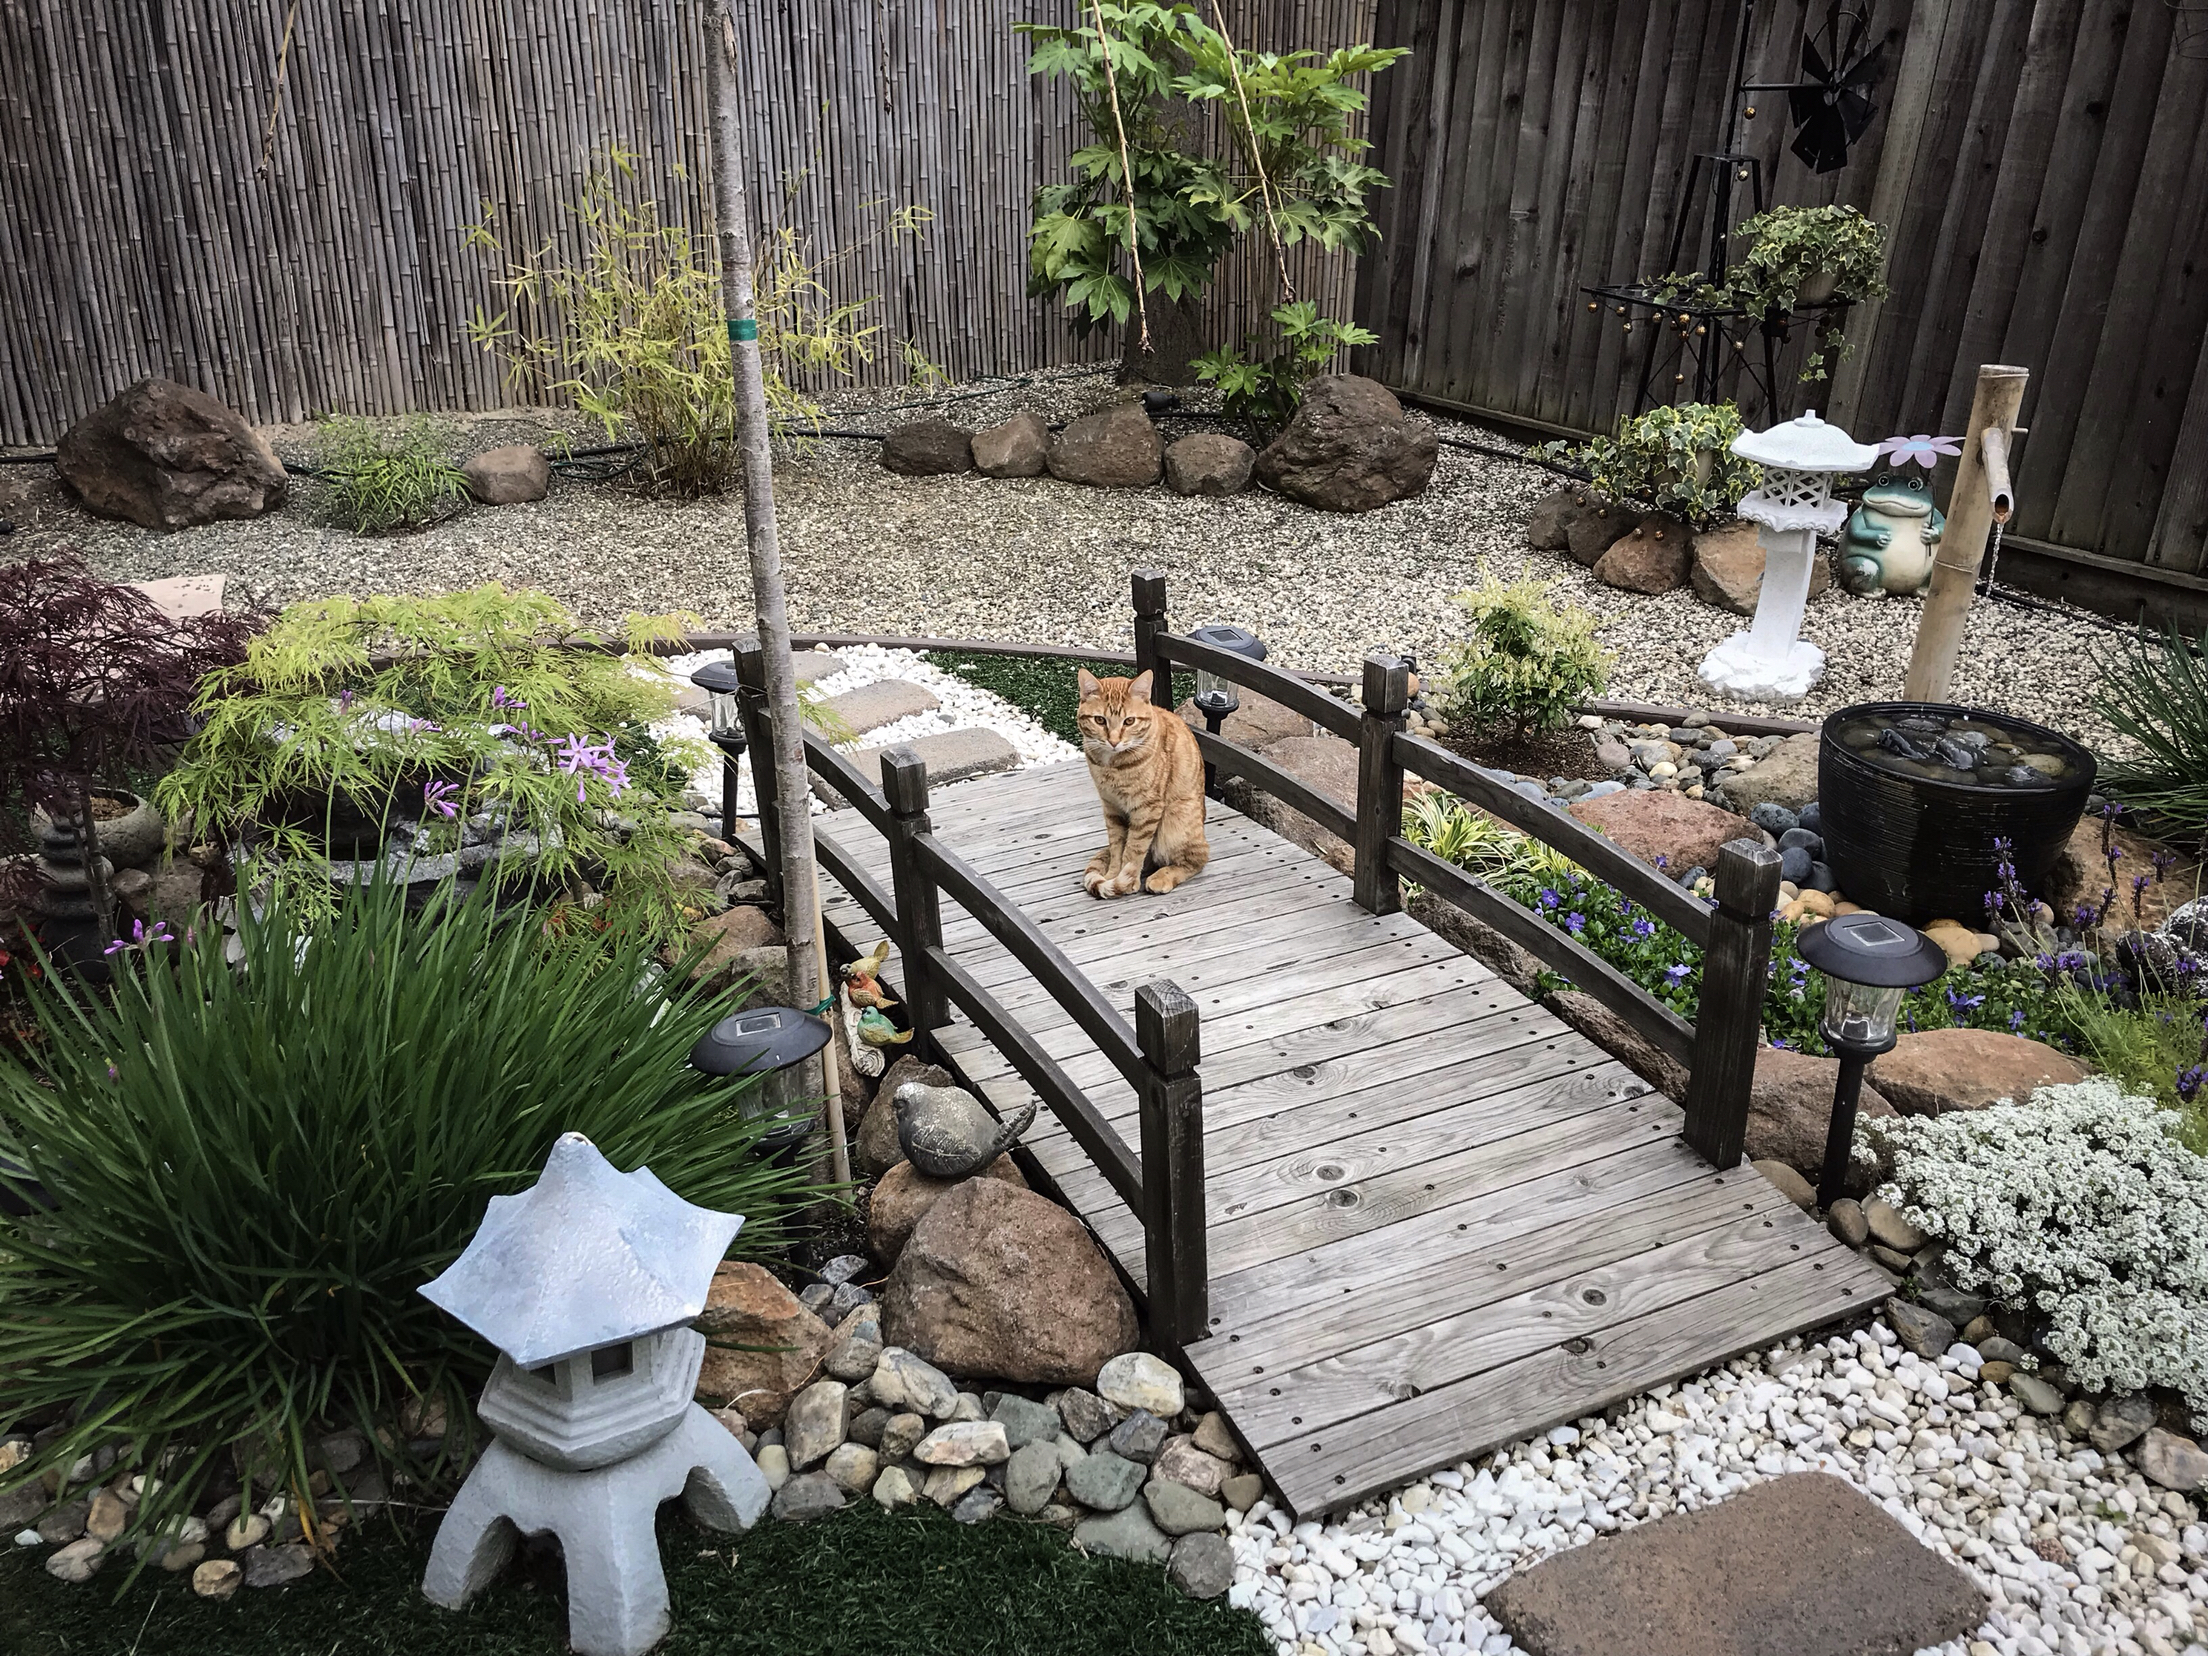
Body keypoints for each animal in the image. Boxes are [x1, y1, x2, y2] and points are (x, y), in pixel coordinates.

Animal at [1073, 666, 1209, 900]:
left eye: (1129, 721)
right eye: (1100, 720)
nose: (1114, 741)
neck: (1112, 765)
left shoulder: (1147, 808)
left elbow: (1133, 849)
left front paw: (1127, 882)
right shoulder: (1111, 806)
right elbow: (1117, 846)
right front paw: (1113, 875)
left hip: (1175, 823)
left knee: (1197, 859)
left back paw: (1161, 878)